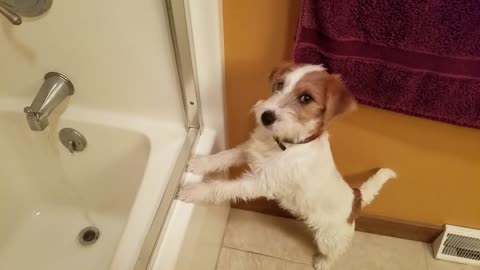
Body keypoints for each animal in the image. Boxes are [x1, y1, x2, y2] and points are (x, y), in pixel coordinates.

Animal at [178, 63, 396, 270]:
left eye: (306, 98)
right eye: (280, 84)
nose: (266, 116)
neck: (286, 143)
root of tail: (355, 197)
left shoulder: (259, 182)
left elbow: (222, 187)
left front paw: (194, 191)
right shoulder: (248, 150)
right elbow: (224, 156)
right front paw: (199, 163)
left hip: (328, 238)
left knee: (335, 253)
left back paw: (323, 263)